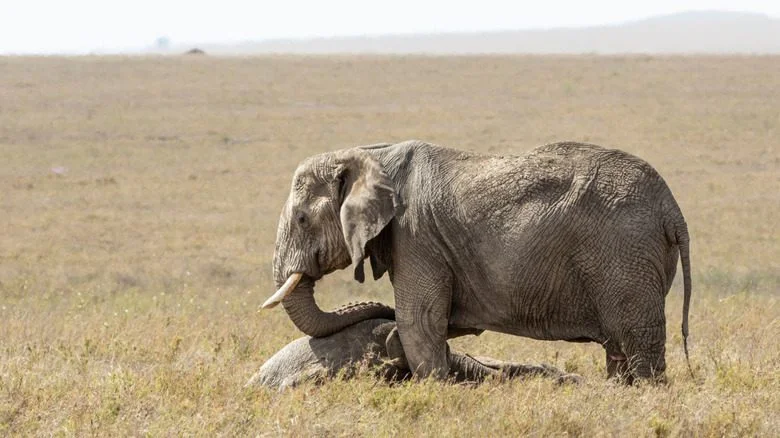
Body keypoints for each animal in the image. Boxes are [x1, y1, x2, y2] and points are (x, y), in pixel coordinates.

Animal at [262, 140, 692, 383]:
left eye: (302, 220)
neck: (370, 154)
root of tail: (672, 210)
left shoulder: (416, 237)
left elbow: (419, 321)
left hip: (625, 253)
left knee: (638, 341)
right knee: (619, 347)